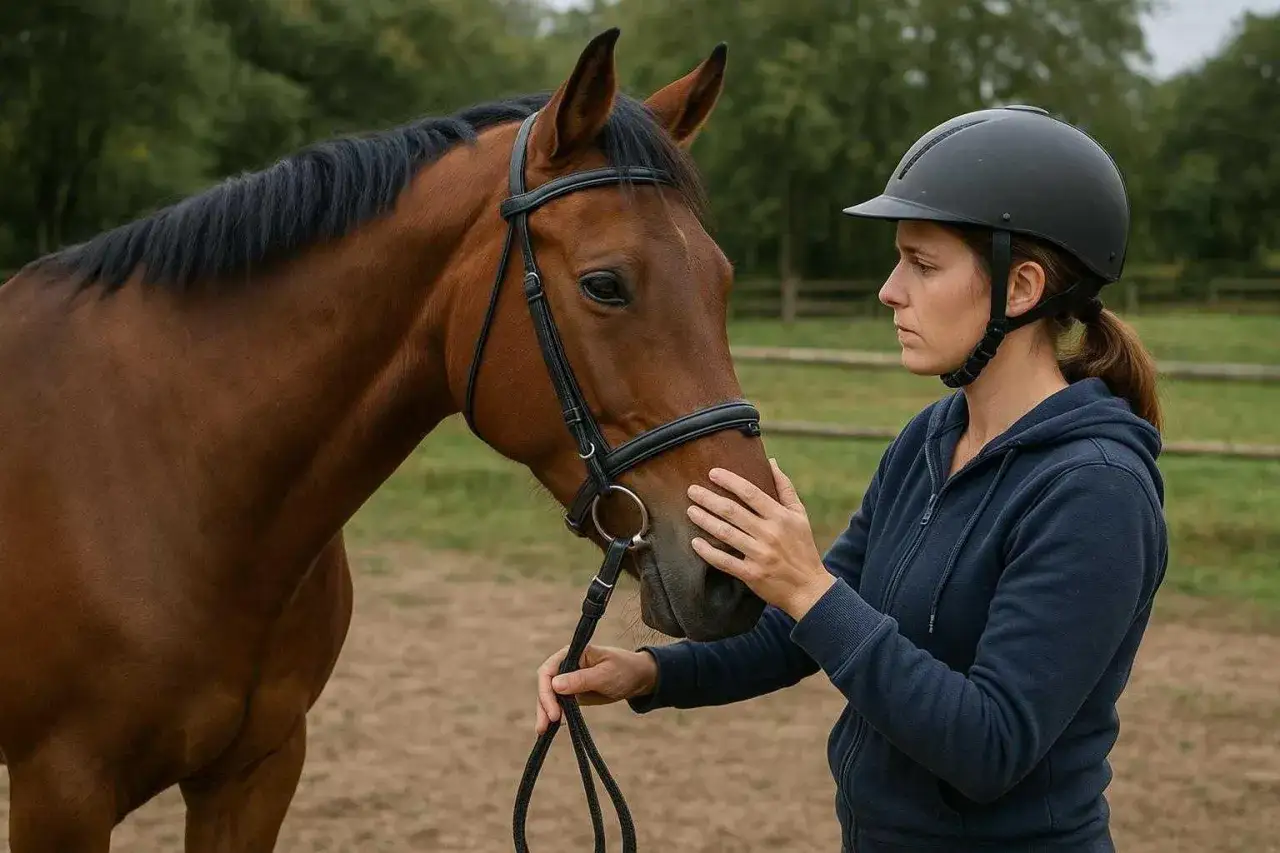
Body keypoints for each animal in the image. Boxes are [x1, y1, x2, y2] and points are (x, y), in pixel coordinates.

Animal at [0, 28, 776, 852]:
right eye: (605, 285)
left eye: (723, 281)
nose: (733, 573)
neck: (166, 477)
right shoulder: (62, 792)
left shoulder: (256, 770)